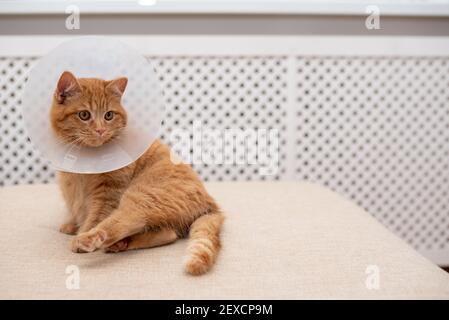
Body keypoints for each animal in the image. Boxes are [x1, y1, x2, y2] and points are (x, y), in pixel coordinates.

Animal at [50, 70, 224, 276]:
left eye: (108, 115)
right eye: (84, 115)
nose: (100, 130)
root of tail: (210, 202)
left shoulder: (108, 193)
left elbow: (95, 218)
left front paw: (81, 231)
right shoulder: (70, 187)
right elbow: (75, 208)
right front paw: (71, 224)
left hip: (141, 197)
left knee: (118, 224)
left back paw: (87, 240)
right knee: (168, 234)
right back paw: (121, 245)